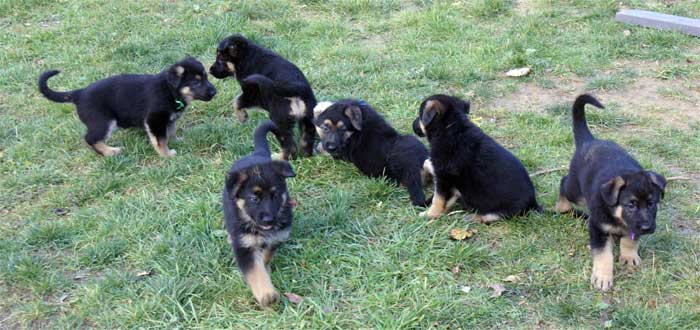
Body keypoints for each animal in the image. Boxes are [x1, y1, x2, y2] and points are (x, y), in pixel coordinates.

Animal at [37, 56, 216, 157]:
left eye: (206, 77)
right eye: (196, 82)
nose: (215, 91)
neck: (170, 90)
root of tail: (79, 94)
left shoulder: (168, 120)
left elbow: (169, 133)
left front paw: (177, 141)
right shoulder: (154, 119)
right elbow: (160, 140)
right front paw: (167, 156)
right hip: (104, 122)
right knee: (90, 139)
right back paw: (110, 152)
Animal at [224, 120, 296, 308]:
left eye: (275, 195)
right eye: (254, 198)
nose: (269, 219)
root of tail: (258, 153)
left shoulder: (277, 237)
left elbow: (266, 257)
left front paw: (266, 268)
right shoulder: (244, 247)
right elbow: (256, 272)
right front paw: (267, 295)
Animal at [412, 94, 540, 223]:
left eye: (420, 115)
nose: (412, 124)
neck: (452, 127)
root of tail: (533, 204)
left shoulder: (444, 178)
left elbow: (437, 200)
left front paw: (429, 215)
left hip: (505, 209)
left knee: (493, 216)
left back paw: (471, 217)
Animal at [556, 93, 664, 292]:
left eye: (652, 203)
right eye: (631, 205)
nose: (647, 228)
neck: (616, 215)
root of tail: (589, 141)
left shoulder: (633, 226)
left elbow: (630, 239)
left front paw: (629, 256)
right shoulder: (597, 227)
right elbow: (603, 254)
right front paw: (603, 277)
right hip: (576, 192)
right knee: (564, 182)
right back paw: (562, 207)